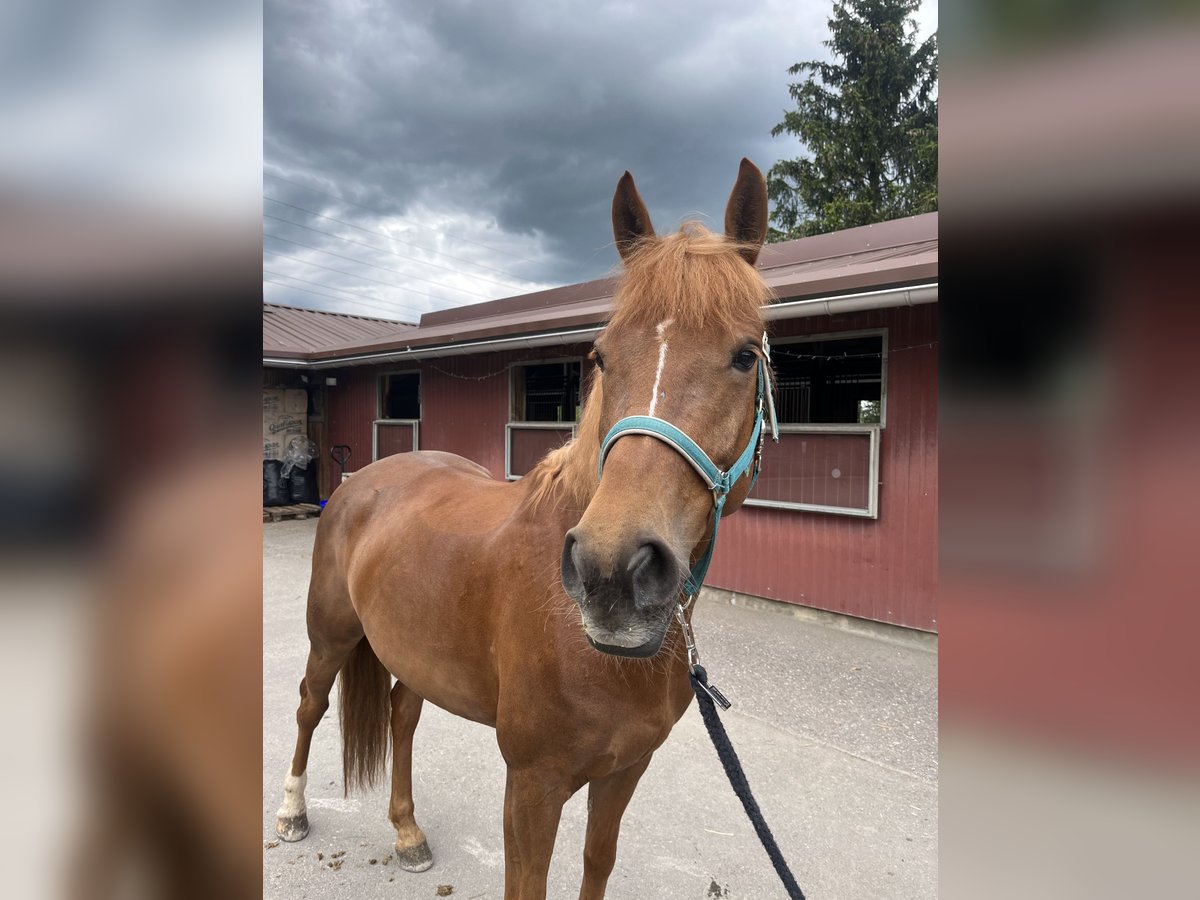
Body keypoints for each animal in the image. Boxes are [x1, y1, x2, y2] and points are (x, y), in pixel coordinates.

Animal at [276, 160, 772, 900]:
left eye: (744, 356)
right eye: (600, 356)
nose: (613, 571)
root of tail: (363, 478)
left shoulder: (625, 771)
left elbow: (598, 863)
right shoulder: (533, 786)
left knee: (401, 714)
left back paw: (407, 832)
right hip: (330, 633)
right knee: (310, 704)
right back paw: (290, 811)